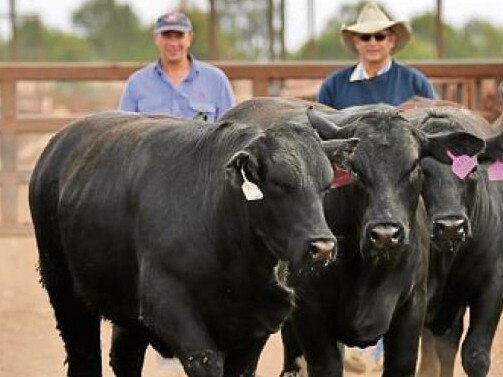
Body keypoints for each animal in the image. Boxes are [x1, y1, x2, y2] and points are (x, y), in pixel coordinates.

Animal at [28, 111, 362, 376]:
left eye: (325, 186)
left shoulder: (257, 324)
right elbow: (205, 361)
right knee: (84, 355)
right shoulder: (170, 309)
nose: (322, 247)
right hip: (63, 289)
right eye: (279, 184)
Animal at [221, 97, 488, 376]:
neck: (369, 274)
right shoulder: (311, 316)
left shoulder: (413, 308)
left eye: (414, 165)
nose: (385, 235)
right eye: (355, 169)